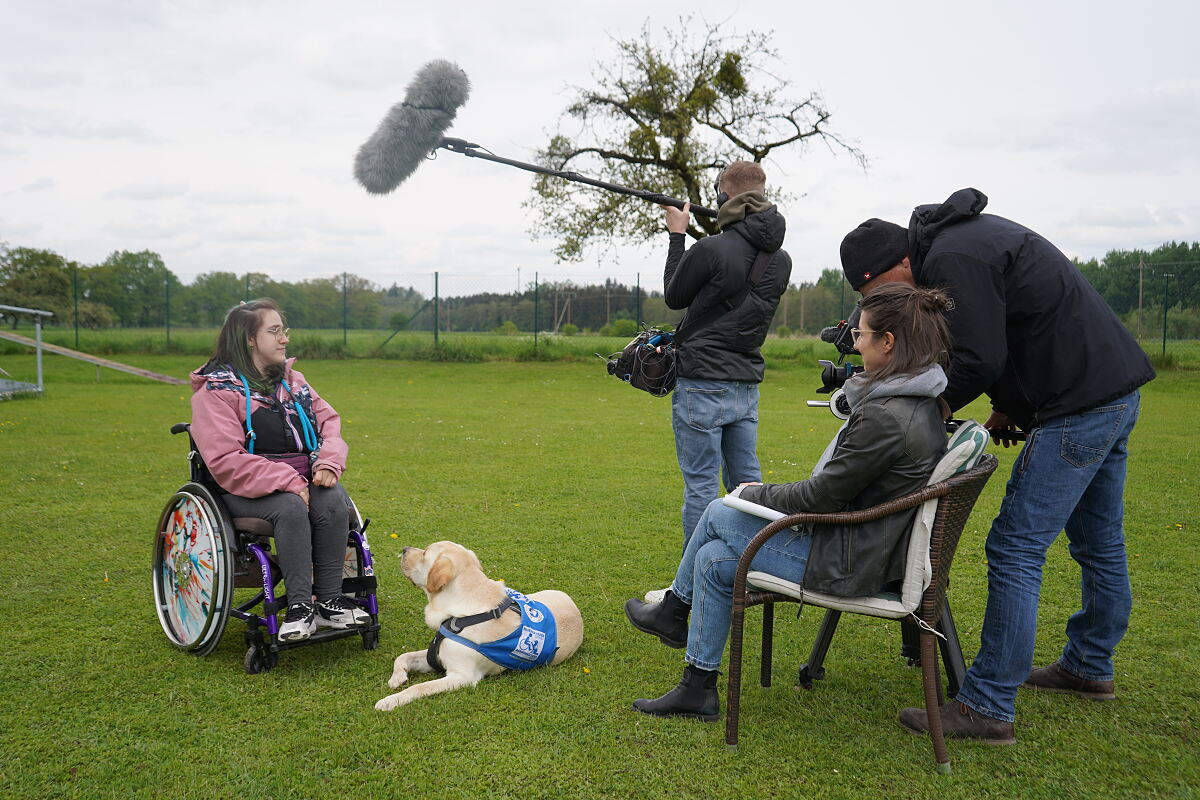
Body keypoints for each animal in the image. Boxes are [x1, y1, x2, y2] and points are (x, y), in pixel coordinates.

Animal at [374, 542, 580, 710]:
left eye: (425, 552)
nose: (404, 549)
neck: (461, 614)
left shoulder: (462, 676)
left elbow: (419, 687)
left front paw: (390, 701)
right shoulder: (436, 655)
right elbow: (404, 655)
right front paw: (397, 677)